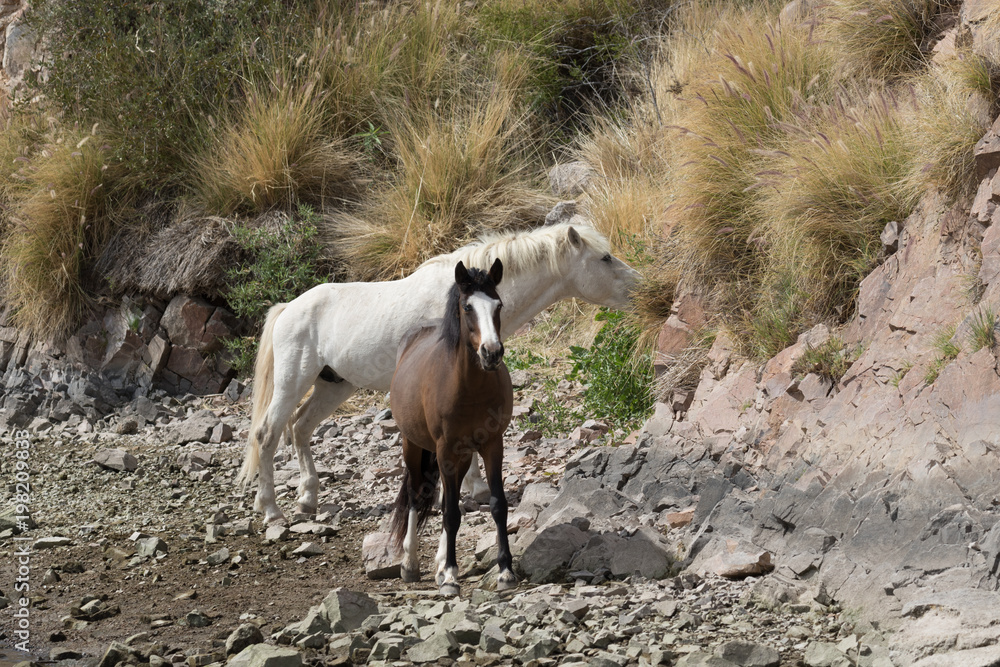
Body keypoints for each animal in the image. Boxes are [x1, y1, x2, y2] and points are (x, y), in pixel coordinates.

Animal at [237, 222, 640, 524]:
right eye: (604, 258)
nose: (640, 287)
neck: (460, 303)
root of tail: (289, 308)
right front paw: (469, 490)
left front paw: (476, 490)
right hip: (293, 381)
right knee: (268, 434)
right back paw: (271, 510)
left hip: (334, 386)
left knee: (300, 428)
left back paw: (307, 498)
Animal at [389, 258, 514, 595]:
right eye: (467, 307)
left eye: (498, 305)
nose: (491, 352)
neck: (468, 388)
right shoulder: (444, 448)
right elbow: (449, 513)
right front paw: (450, 578)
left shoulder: (492, 445)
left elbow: (496, 505)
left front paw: (505, 571)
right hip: (413, 445)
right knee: (416, 492)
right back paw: (411, 564)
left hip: (461, 454)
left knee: (449, 495)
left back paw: (440, 564)